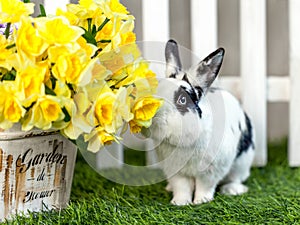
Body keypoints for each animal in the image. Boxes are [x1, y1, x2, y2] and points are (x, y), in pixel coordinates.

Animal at [149, 39, 253, 205]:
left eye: (182, 99)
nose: (152, 115)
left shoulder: (210, 171)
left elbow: (205, 186)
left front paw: (201, 201)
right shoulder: (176, 171)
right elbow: (182, 187)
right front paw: (180, 202)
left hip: (243, 161)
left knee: (236, 178)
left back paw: (232, 190)